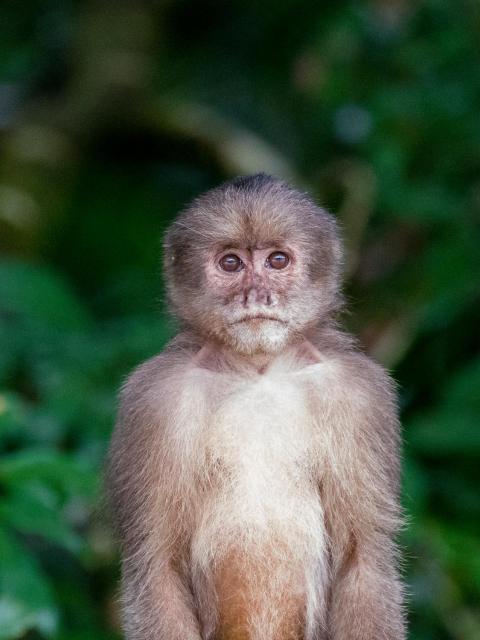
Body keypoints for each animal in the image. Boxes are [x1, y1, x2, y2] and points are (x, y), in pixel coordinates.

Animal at [106, 174, 404, 640]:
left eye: (277, 260)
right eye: (231, 264)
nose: (256, 294)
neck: (257, 372)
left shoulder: (361, 394)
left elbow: (364, 558)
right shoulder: (153, 399)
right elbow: (156, 566)